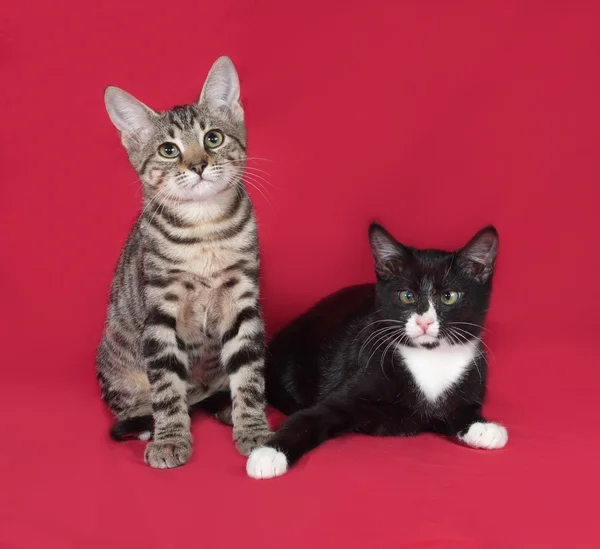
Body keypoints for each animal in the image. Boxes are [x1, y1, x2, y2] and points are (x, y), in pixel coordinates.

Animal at [97, 55, 270, 468]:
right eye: (168, 150)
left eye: (213, 138)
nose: (198, 165)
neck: (204, 229)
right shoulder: (159, 313)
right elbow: (166, 387)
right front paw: (170, 439)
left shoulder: (243, 303)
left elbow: (249, 375)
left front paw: (253, 428)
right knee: (133, 402)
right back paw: (148, 424)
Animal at [246, 220, 508, 478]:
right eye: (407, 295)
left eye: (449, 296)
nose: (424, 322)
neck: (430, 357)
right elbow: (310, 418)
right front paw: (268, 454)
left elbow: (460, 412)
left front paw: (484, 428)